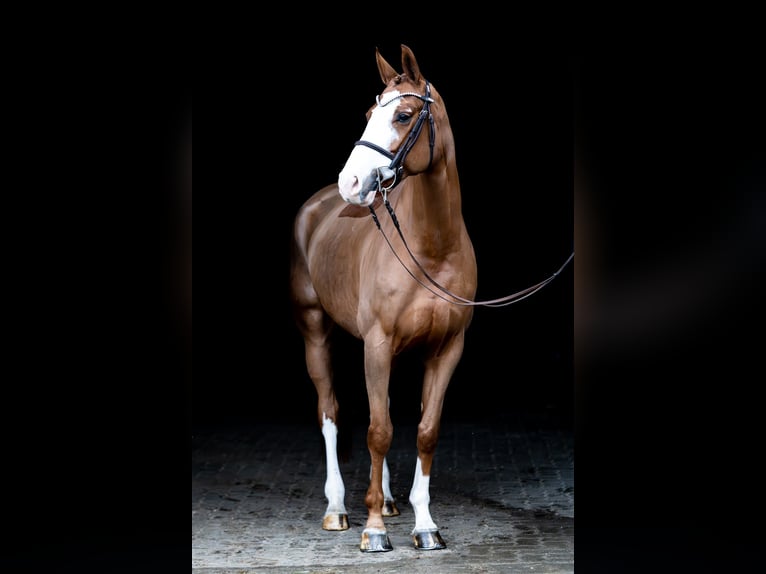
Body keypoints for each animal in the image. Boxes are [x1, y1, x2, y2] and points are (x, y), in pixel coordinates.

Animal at [292, 42, 476, 556]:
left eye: (404, 115)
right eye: (369, 113)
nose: (351, 184)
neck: (432, 248)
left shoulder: (446, 350)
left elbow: (424, 431)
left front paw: (425, 524)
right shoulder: (377, 342)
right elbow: (378, 430)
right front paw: (373, 529)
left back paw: (391, 501)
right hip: (315, 329)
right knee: (330, 412)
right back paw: (338, 508)